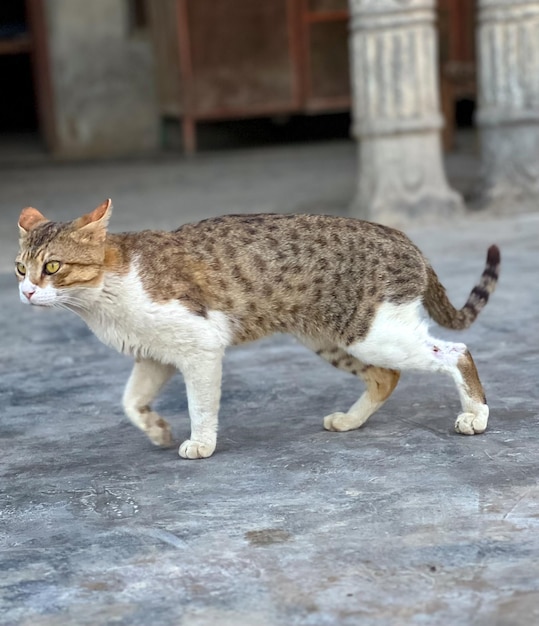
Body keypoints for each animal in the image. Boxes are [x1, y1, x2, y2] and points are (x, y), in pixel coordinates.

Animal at [13, 200, 502, 458]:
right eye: (20, 268)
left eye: (52, 267)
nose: (27, 292)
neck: (104, 299)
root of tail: (402, 237)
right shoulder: (154, 356)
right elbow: (130, 402)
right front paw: (156, 429)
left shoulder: (200, 346)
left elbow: (201, 405)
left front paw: (200, 443)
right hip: (333, 338)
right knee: (386, 377)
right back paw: (350, 420)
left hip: (372, 334)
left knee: (456, 351)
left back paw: (475, 415)